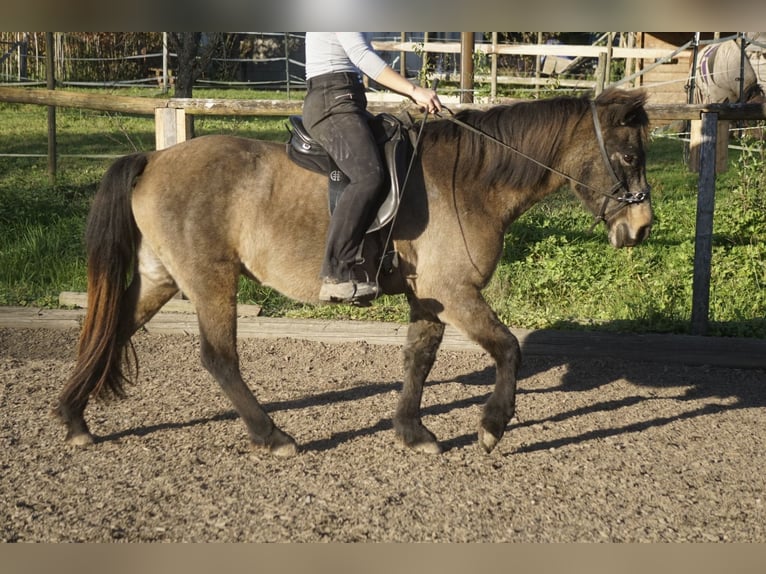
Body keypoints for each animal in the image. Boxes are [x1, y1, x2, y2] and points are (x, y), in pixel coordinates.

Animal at [54, 88, 656, 460]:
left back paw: (73, 418)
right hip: (211, 280)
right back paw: (272, 435)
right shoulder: (455, 292)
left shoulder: (429, 297)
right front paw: (491, 426)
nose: (642, 226)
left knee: (111, 330)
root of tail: (153, 160)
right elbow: (509, 348)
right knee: (218, 358)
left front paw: (412, 431)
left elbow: (419, 358)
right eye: (628, 156)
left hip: (161, 278)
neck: (469, 180)